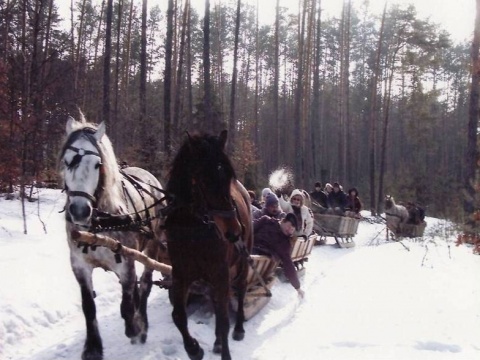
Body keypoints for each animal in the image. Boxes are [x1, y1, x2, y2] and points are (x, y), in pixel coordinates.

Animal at [59, 116, 167, 360]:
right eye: (67, 161)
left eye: (98, 165)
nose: (79, 210)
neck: (100, 222)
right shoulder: (80, 265)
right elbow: (88, 307)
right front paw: (92, 348)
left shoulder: (125, 262)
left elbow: (126, 306)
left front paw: (135, 328)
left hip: (153, 246)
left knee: (145, 284)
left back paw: (142, 324)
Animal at [163, 131, 253, 360]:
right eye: (203, 179)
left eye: (229, 176)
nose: (234, 232)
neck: (193, 228)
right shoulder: (180, 273)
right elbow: (178, 315)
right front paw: (194, 349)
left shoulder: (221, 272)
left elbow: (224, 318)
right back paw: (218, 341)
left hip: (242, 260)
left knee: (240, 289)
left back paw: (239, 328)